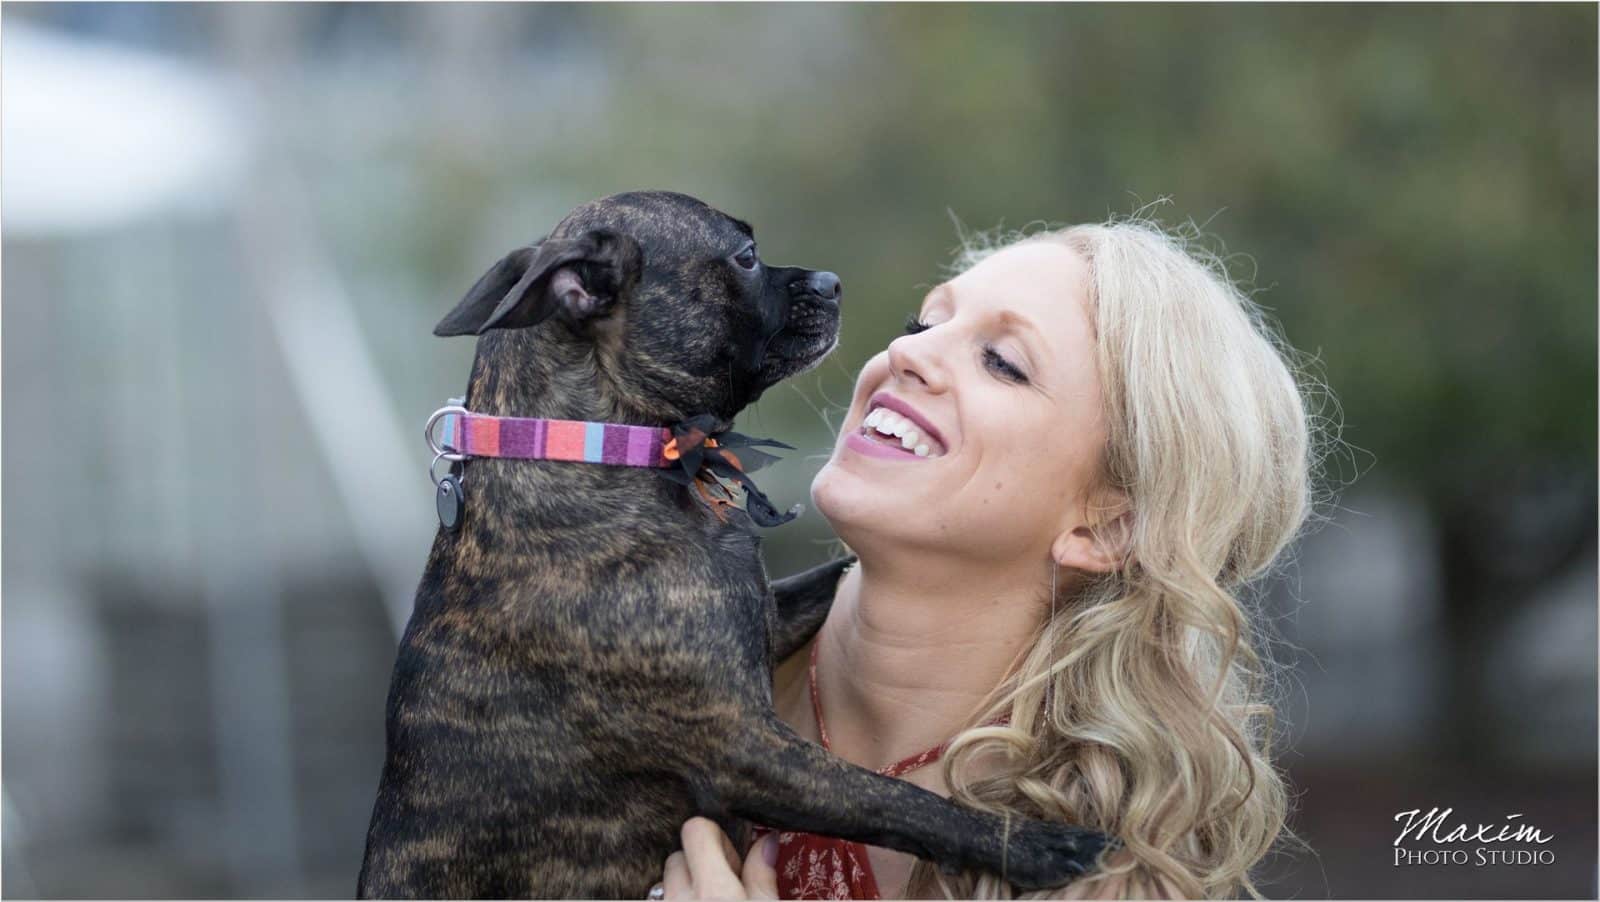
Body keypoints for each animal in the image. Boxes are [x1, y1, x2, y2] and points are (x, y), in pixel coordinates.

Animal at [360, 193, 1113, 895]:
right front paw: (1032, 845)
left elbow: (833, 574)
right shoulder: (744, 747)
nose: (832, 281)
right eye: (746, 258)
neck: (611, 447)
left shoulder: (767, 620)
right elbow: (899, 802)